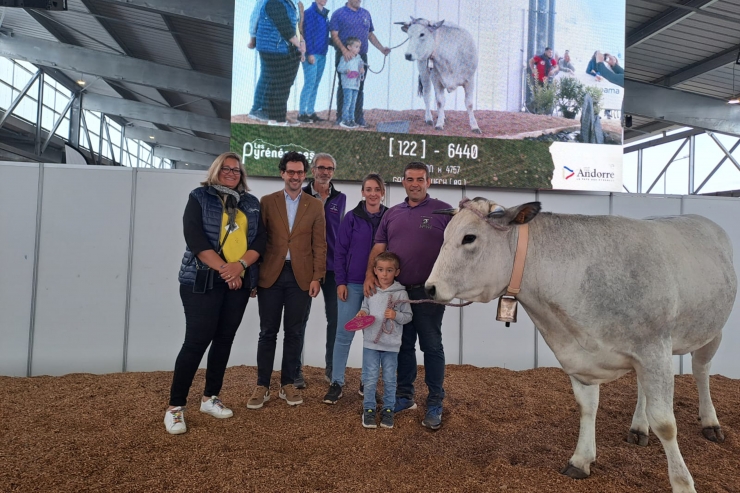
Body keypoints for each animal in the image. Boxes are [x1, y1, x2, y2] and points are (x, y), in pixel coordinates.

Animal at [424, 197, 736, 492]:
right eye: (444, 236)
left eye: (469, 237)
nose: (430, 288)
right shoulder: (580, 356)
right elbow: (588, 407)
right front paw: (580, 460)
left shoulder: (653, 348)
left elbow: (665, 422)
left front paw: (683, 483)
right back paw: (638, 428)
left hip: (713, 331)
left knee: (701, 371)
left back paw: (710, 422)